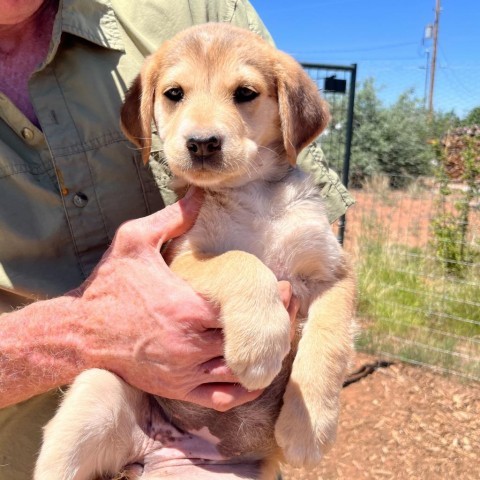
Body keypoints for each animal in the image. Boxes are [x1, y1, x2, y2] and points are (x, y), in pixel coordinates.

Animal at [34, 22, 356, 480]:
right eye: (174, 94)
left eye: (245, 93)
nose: (202, 143)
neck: (251, 194)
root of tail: (160, 459)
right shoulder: (179, 257)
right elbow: (241, 261)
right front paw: (261, 343)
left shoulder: (333, 270)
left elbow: (330, 342)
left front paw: (309, 429)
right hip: (96, 392)